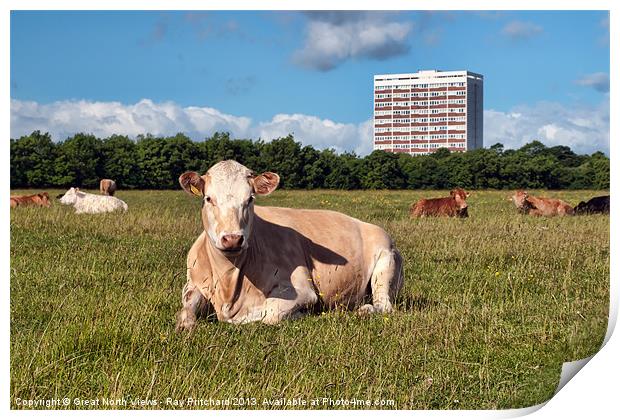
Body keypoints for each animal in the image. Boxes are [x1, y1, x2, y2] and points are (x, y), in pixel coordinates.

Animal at [177, 161, 404, 332]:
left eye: (250, 199)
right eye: (208, 198)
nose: (232, 239)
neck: (227, 283)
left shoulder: (301, 290)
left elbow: (267, 314)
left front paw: (304, 314)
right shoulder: (192, 282)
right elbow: (186, 306)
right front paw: (186, 323)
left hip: (385, 265)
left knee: (384, 305)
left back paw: (365, 310)